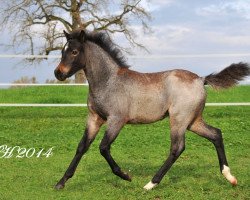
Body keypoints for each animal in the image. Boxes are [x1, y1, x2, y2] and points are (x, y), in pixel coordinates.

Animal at [54, 30, 250, 191]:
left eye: (74, 51)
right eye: (62, 51)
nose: (58, 73)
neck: (109, 82)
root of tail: (201, 79)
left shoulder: (116, 120)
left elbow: (103, 148)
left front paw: (125, 176)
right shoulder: (94, 119)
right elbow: (82, 147)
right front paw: (61, 182)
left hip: (178, 120)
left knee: (177, 148)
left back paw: (151, 183)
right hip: (193, 121)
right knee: (216, 134)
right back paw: (230, 177)